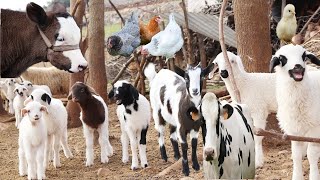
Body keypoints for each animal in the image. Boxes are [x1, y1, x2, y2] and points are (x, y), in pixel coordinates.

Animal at [270, 44, 320, 180]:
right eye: (282, 58)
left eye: (304, 56)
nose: (298, 66)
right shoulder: (293, 130)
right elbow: (296, 154)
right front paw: (297, 176)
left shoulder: (315, 128)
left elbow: (312, 154)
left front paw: (314, 176)